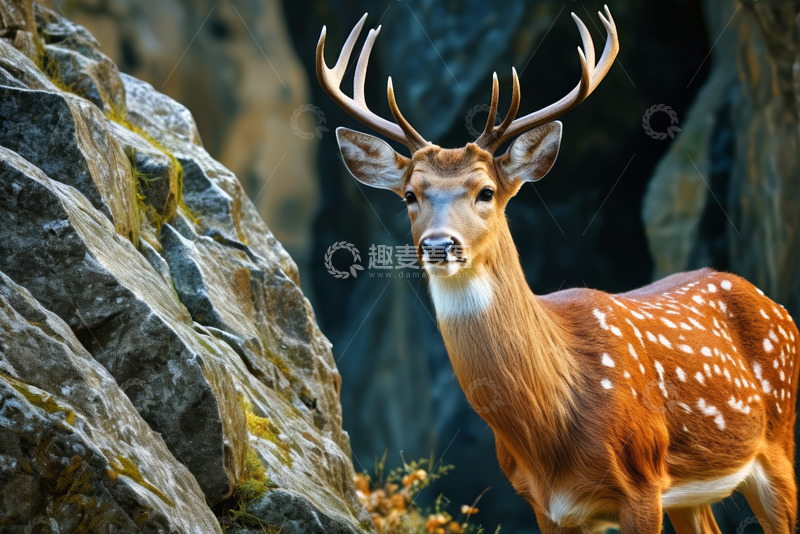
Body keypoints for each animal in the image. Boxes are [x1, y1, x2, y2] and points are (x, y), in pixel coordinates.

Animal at [316, 7, 799, 534]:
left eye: (486, 191)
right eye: (410, 195)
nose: (439, 245)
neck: (552, 428)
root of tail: (774, 304)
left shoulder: (642, 481)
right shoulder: (545, 505)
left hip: (778, 441)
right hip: (694, 491)